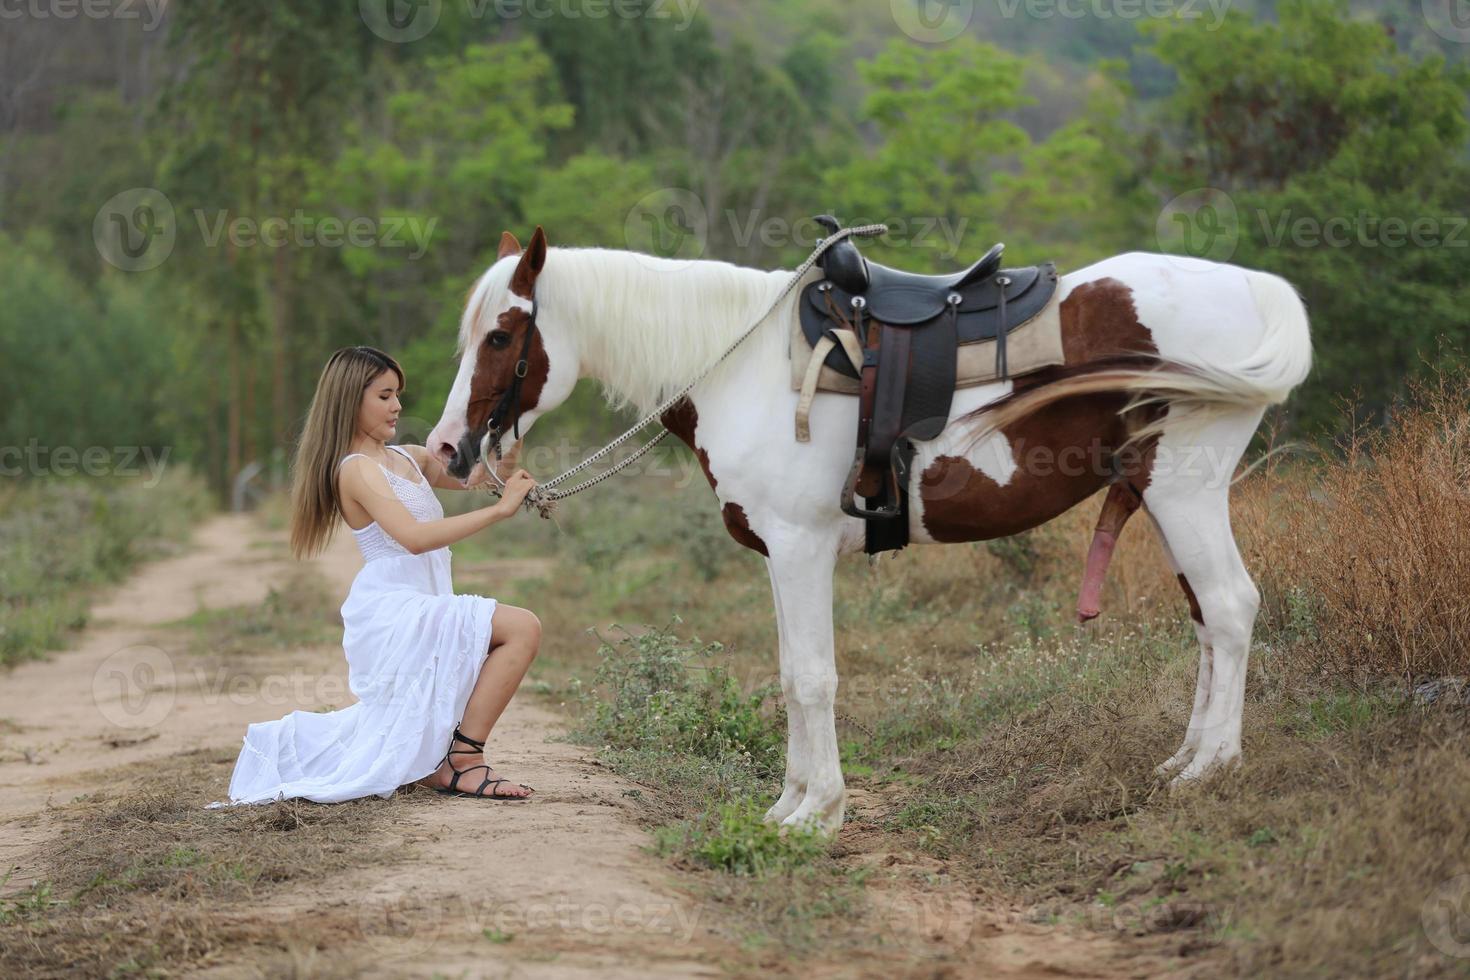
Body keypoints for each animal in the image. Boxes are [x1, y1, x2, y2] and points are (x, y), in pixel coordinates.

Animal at [426, 227, 1311, 834]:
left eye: (501, 336)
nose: (446, 452)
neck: (743, 365)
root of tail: (1252, 290)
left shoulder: (801, 548)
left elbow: (813, 678)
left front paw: (817, 813)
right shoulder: (780, 556)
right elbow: (790, 673)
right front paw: (789, 803)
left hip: (1185, 489)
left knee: (1230, 609)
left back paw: (1212, 770)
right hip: (1164, 498)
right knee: (1206, 620)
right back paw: (1185, 758)